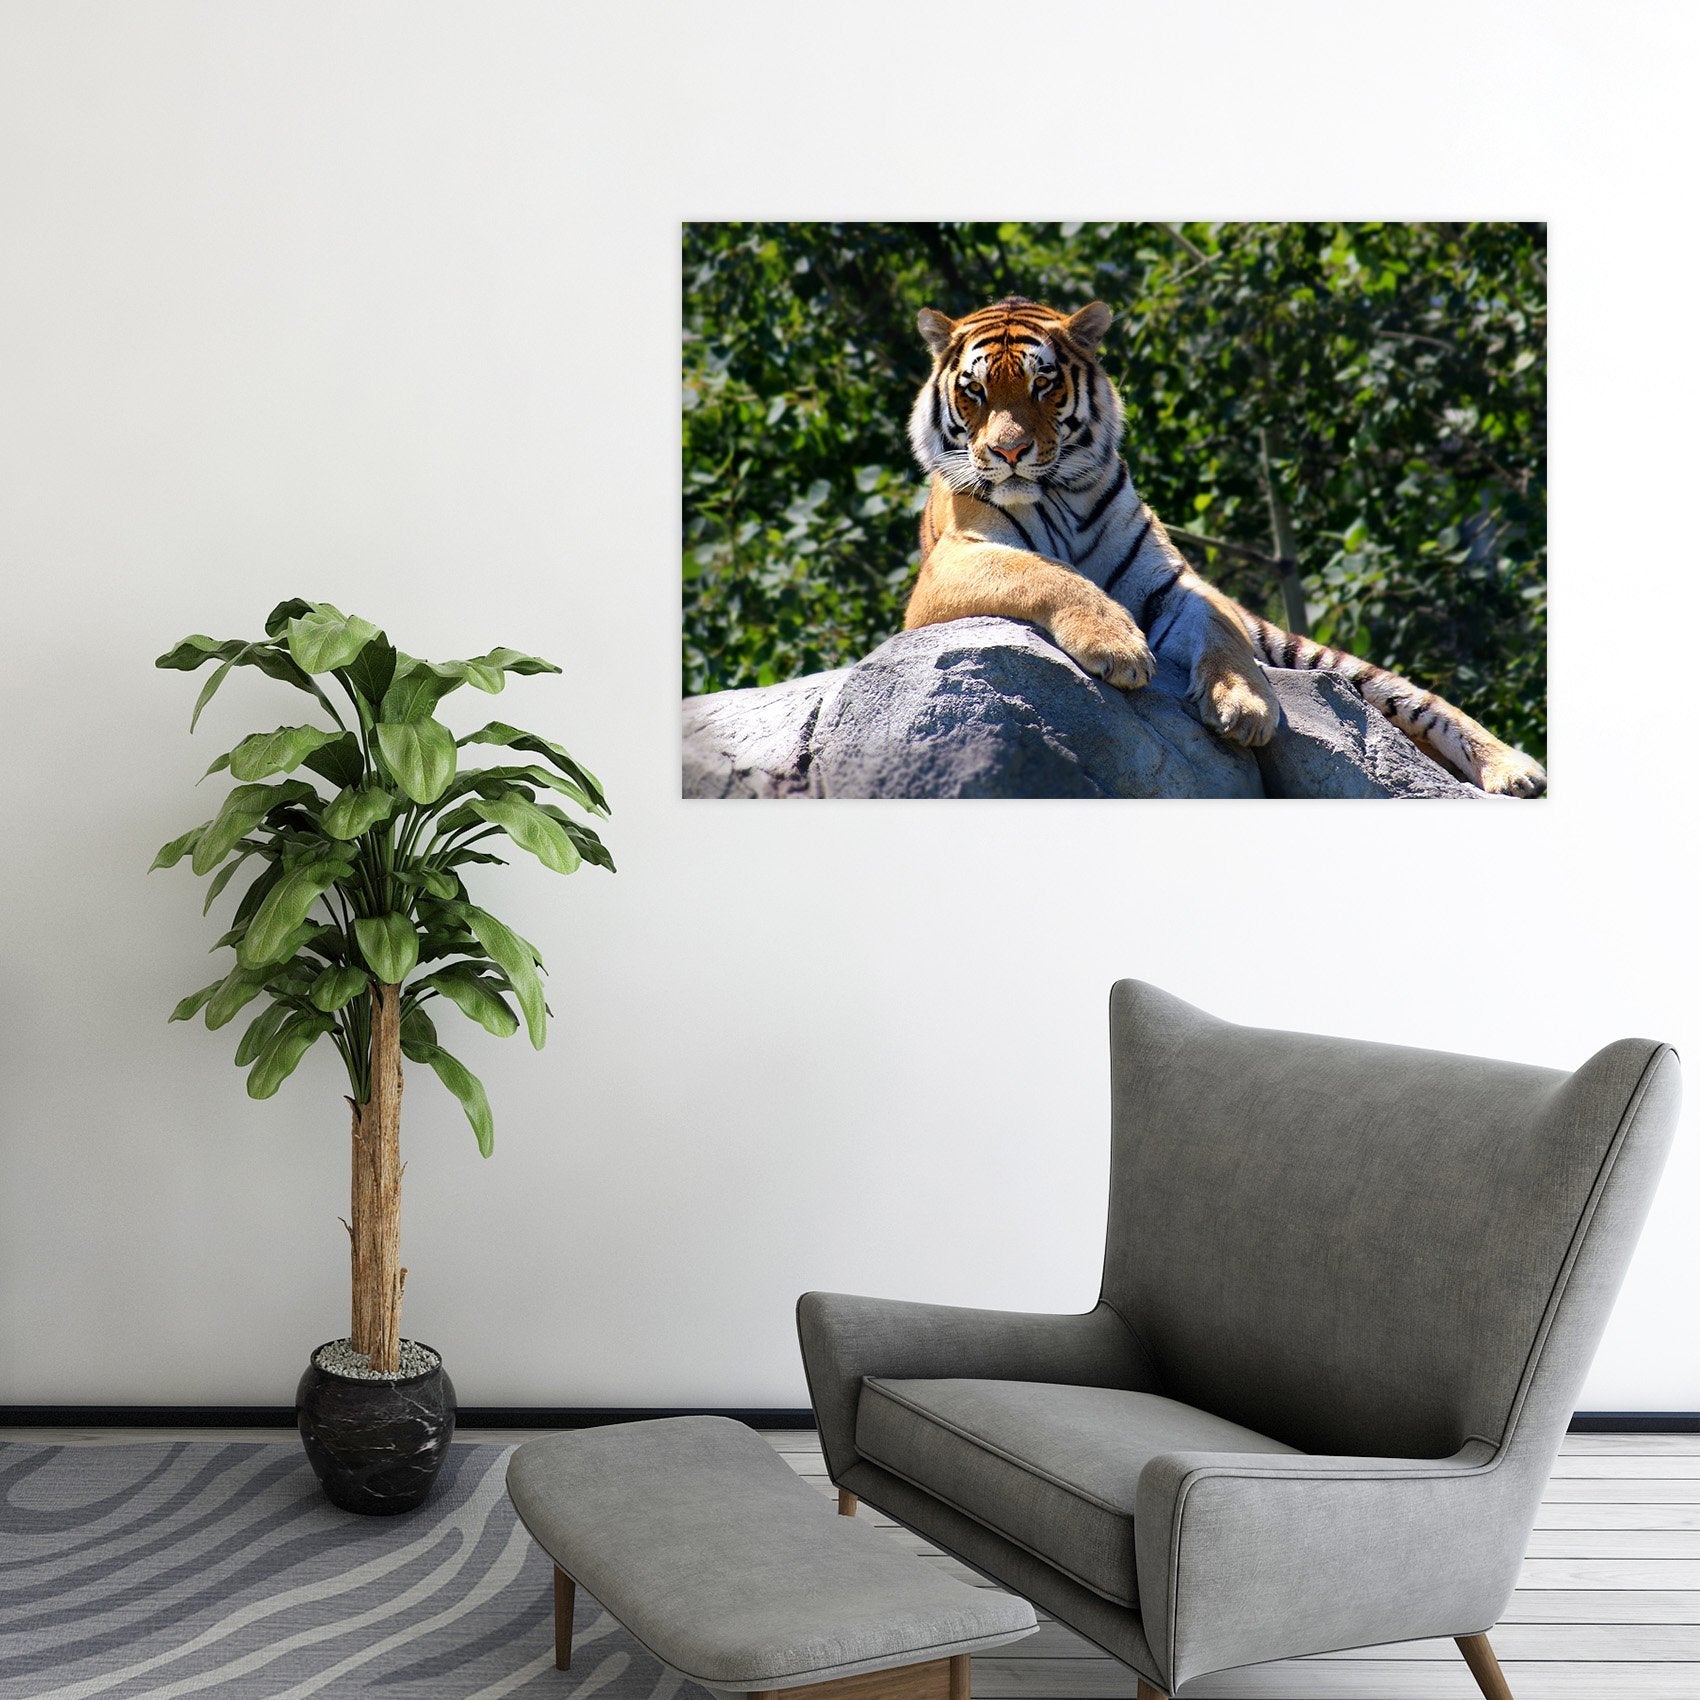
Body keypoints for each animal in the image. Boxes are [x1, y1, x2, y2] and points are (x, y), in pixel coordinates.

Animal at [905, 295, 1547, 798]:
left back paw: (1516, 771)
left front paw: (1245, 707)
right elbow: (1046, 573)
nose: (1008, 452)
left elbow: (1220, 630)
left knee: (1420, 701)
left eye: (1042, 384)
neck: (1060, 493)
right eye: (975, 392)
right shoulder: (950, 567)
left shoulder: (1174, 582)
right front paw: (1118, 646)